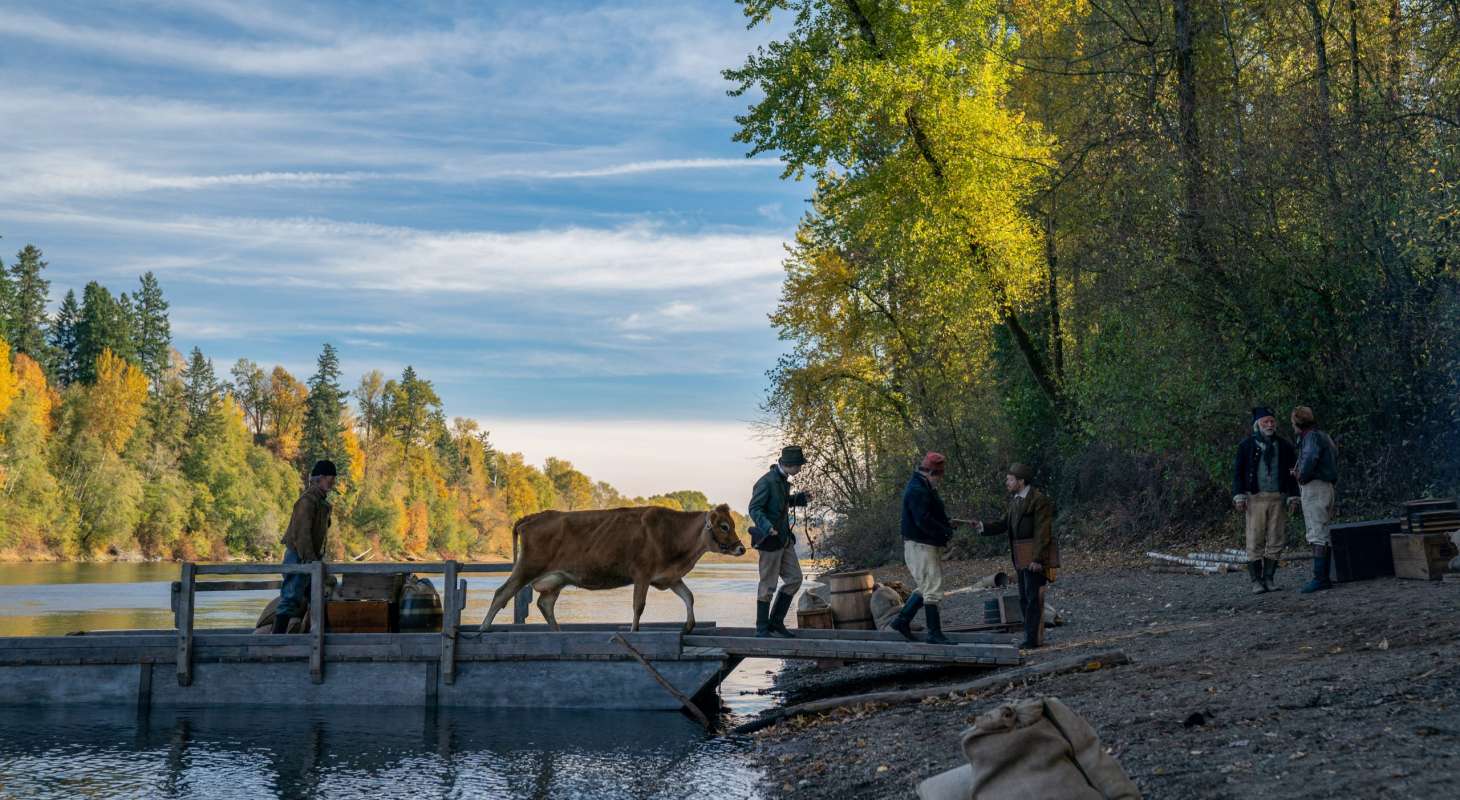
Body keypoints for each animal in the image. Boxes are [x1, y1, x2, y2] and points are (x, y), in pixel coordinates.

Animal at [481, 503, 746, 633]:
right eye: (724, 526)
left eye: (732, 524)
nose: (741, 548)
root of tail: (533, 516)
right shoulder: (642, 574)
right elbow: (639, 606)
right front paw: (633, 630)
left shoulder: (669, 577)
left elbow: (689, 597)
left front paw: (689, 626)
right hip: (527, 567)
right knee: (502, 593)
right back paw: (483, 629)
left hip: (556, 579)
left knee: (545, 604)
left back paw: (558, 632)